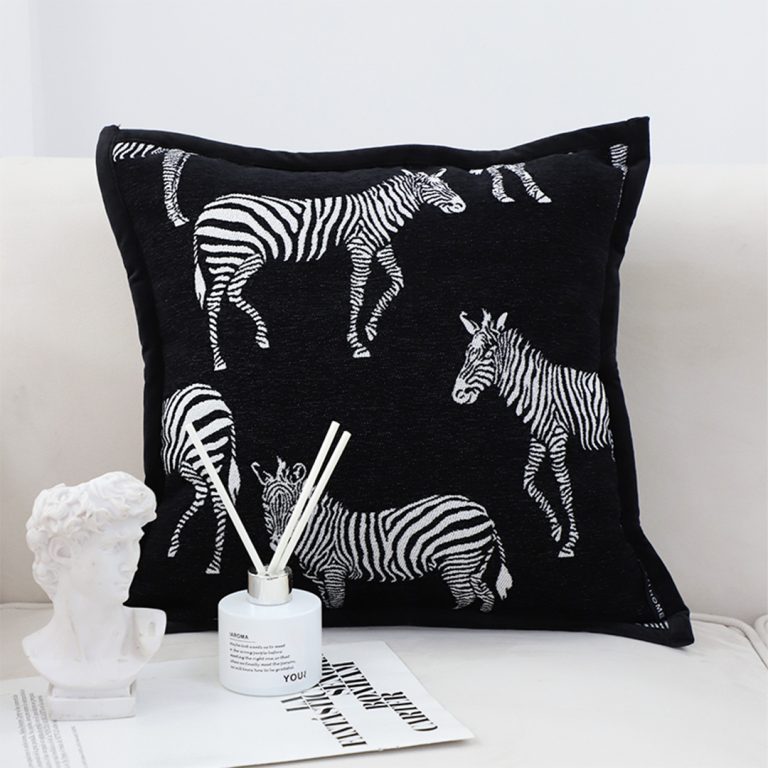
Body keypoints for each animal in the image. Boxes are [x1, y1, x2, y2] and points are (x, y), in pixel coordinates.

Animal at [161, 383, 240, 574]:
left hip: (203, 454)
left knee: (216, 500)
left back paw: (214, 565)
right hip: (192, 462)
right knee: (204, 494)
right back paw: (174, 545)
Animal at [193, 169, 466, 370]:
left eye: (446, 185)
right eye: (432, 188)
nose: (461, 206)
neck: (380, 212)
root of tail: (205, 210)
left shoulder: (381, 248)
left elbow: (397, 281)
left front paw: (371, 328)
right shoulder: (361, 248)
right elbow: (357, 295)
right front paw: (357, 344)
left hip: (250, 258)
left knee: (233, 292)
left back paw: (261, 336)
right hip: (224, 255)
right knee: (214, 302)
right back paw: (219, 360)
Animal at [250, 457, 512, 612]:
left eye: (294, 509)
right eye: (265, 506)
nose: (277, 543)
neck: (317, 531)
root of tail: (483, 512)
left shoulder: (335, 570)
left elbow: (336, 601)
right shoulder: (318, 578)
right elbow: (326, 602)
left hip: (457, 561)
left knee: (466, 597)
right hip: (472, 564)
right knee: (484, 594)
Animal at [452, 309, 614, 558]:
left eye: (488, 353)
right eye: (468, 351)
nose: (458, 394)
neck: (536, 391)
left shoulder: (557, 437)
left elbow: (564, 485)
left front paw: (570, 542)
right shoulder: (538, 439)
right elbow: (528, 480)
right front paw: (556, 529)